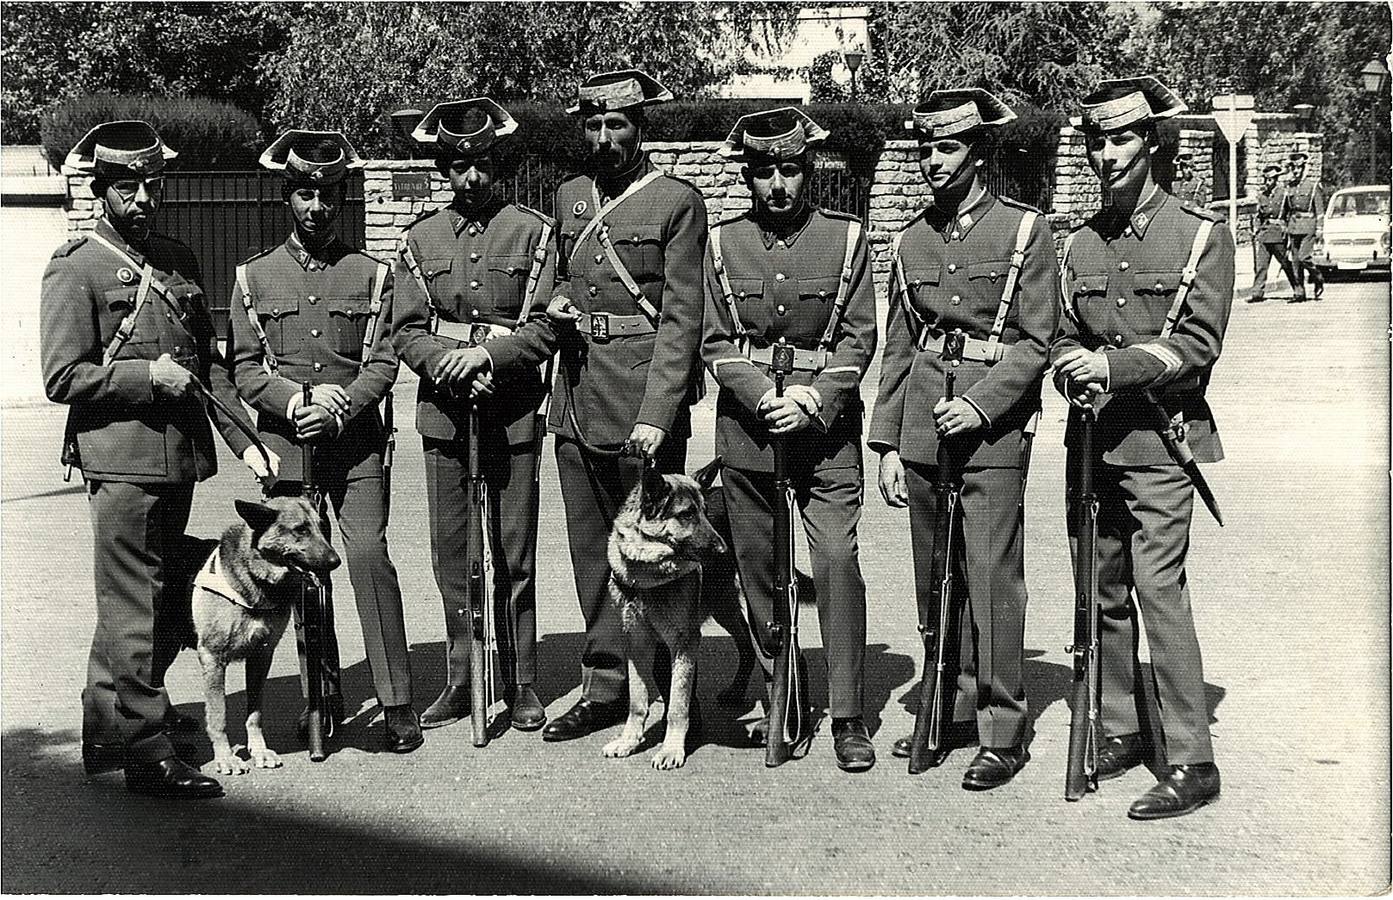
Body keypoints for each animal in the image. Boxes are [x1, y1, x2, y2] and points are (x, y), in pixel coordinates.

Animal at [190, 495, 339, 780]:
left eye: (322, 526)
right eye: (300, 530)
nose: (335, 562)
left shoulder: (261, 656)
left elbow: (255, 714)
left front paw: (259, 751)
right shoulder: (213, 659)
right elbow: (218, 716)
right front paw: (225, 757)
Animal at [601, 465, 724, 769]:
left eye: (705, 512)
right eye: (687, 514)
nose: (723, 550)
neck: (646, 573)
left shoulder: (684, 643)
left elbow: (678, 704)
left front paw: (671, 749)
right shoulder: (636, 643)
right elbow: (637, 701)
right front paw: (629, 741)